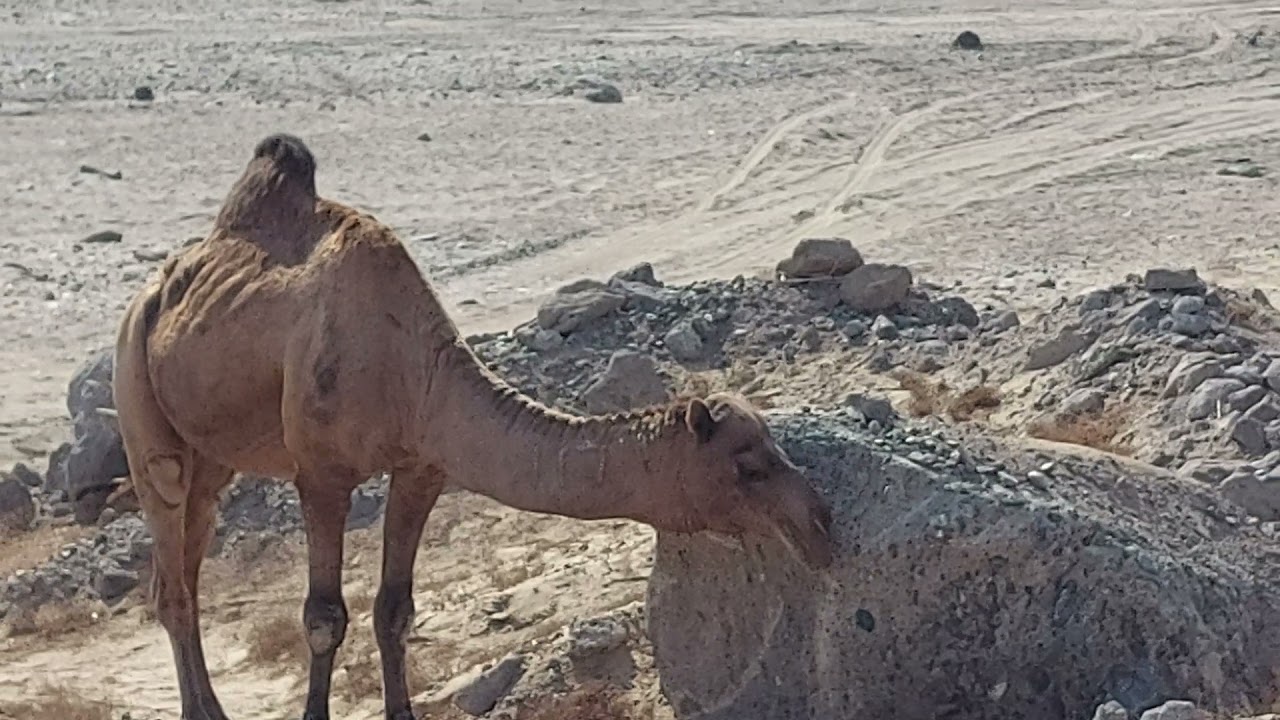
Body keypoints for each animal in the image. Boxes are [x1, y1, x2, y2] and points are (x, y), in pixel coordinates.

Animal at [112, 132, 834, 720]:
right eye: (747, 466)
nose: (820, 523)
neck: (413, 373)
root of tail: (154, 291)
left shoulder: (422, 466)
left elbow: (394, 611)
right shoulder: (322, 473)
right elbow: (323, 617)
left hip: (212, 457)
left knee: (187, 562)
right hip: (137, 391)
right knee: (171, 560)